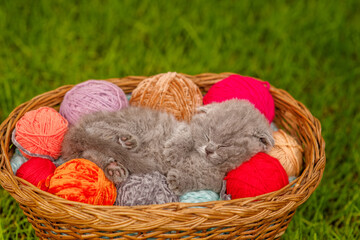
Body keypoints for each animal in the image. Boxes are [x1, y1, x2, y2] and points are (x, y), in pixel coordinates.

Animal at [60, 98, 272, 194]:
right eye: (207, 134)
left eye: (225, 145)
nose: (209, 149)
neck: (202, 160)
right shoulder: (184, 127)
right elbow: (186, 135)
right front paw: (175, 151)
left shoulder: (216, 181)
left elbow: (201, 181)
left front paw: (179, 181)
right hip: (128, 123)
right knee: (99, 134)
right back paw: (127, 142)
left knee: (90, 154)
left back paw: (114, 167)